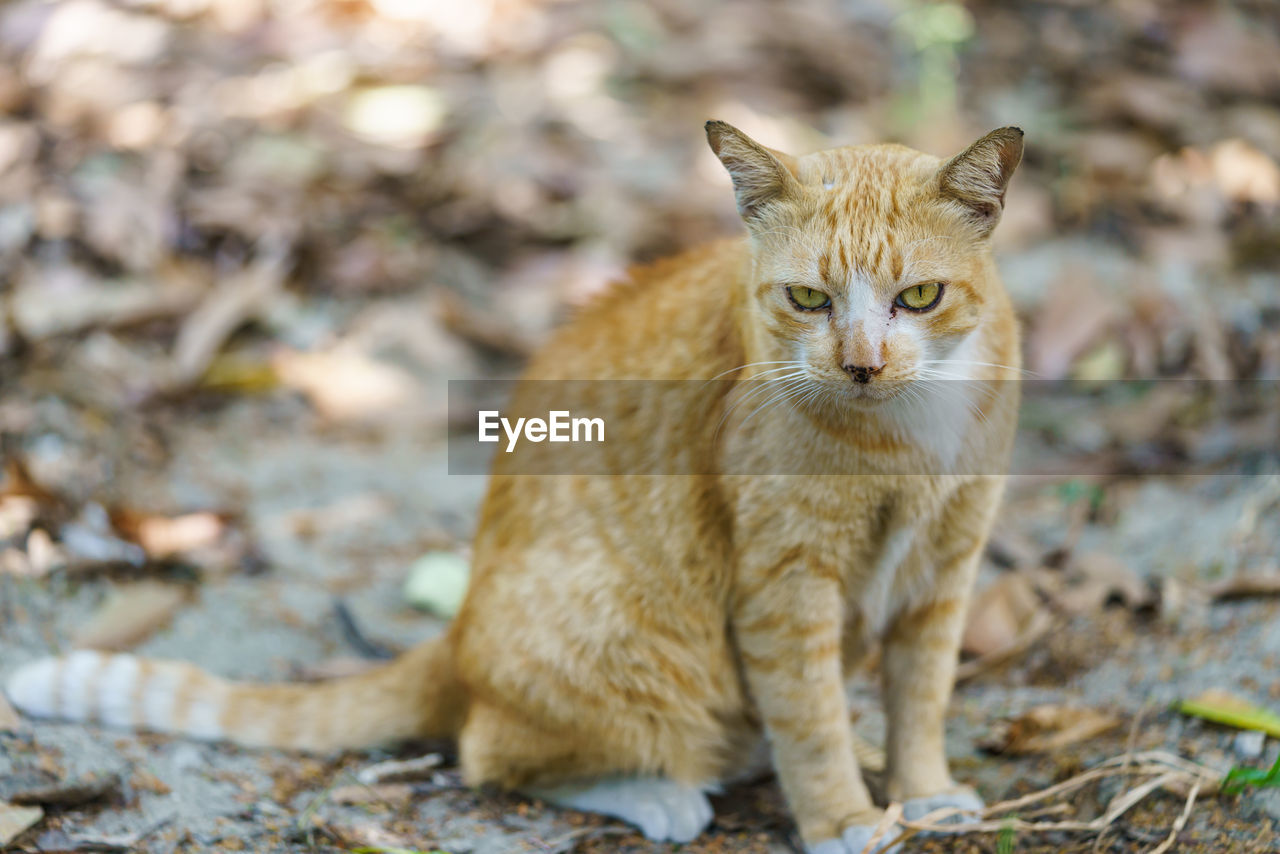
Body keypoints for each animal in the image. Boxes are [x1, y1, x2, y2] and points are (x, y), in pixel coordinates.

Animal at [2, 120, 1018, 854]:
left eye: (918, 298)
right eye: (808, 300)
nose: (861, 365)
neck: (905, 430)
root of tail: (458, 631)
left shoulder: (947, 567)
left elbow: (922, 695)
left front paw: (924, 793)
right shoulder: (787, 587)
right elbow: (810, 719)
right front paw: (844, 817)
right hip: (629, 643)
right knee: (493, 753)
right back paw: (665, 794)